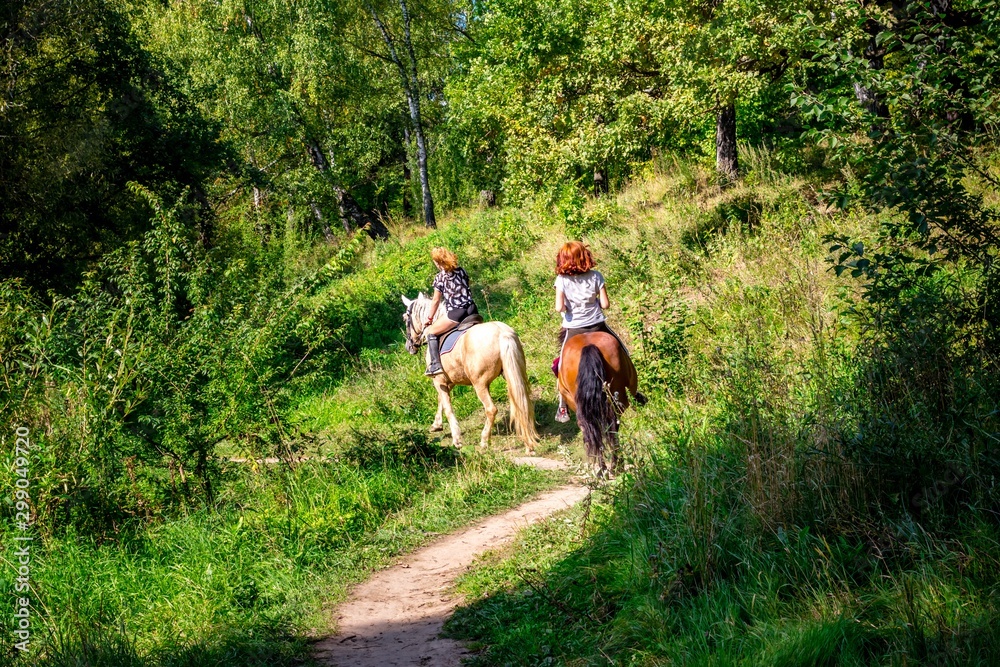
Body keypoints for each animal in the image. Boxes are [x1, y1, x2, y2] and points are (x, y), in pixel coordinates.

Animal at [401, 293, 539, 452]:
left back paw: (484, 441)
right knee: (522, 402)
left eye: (405, 318)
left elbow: (447, 406)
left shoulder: (439, 380)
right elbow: (441, 400)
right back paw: (528, 442)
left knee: (491, 409)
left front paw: (456, 439)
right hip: (514, 375)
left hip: (479, 384)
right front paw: (436, 425)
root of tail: (502, 334)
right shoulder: (450, 380)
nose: (409, 346)